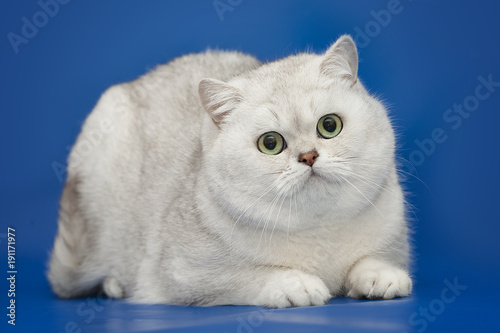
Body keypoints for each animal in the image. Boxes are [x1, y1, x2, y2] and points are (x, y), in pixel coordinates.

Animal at [48, 34, 412, 306]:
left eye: (330, 125)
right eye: (270, 143)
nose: (308, 156)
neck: (319, 232)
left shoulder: (392, 242)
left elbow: (372, 260)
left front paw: (381, 276)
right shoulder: (183, 274)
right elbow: (248, 276)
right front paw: (295, 283)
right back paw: (113, 284)